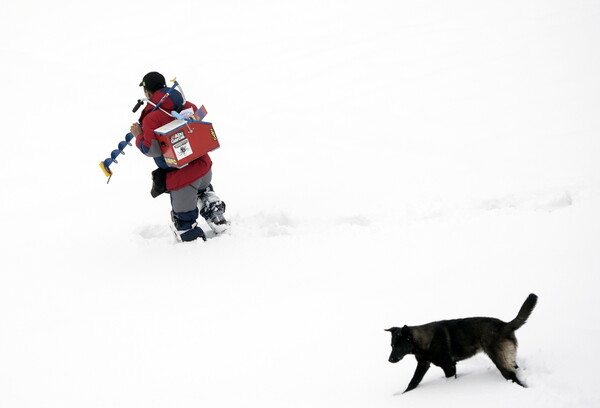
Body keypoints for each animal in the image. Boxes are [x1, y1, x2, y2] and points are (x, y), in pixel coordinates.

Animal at [386, 294, 536, 392]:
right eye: (392, 345)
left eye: (398, 346)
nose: (390, 360)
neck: (423, 341)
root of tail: (505, 325)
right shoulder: (423, 364)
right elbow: (413, 382)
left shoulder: (449, 366)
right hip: (508, 358)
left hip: (500, 361)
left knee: (513, 377)